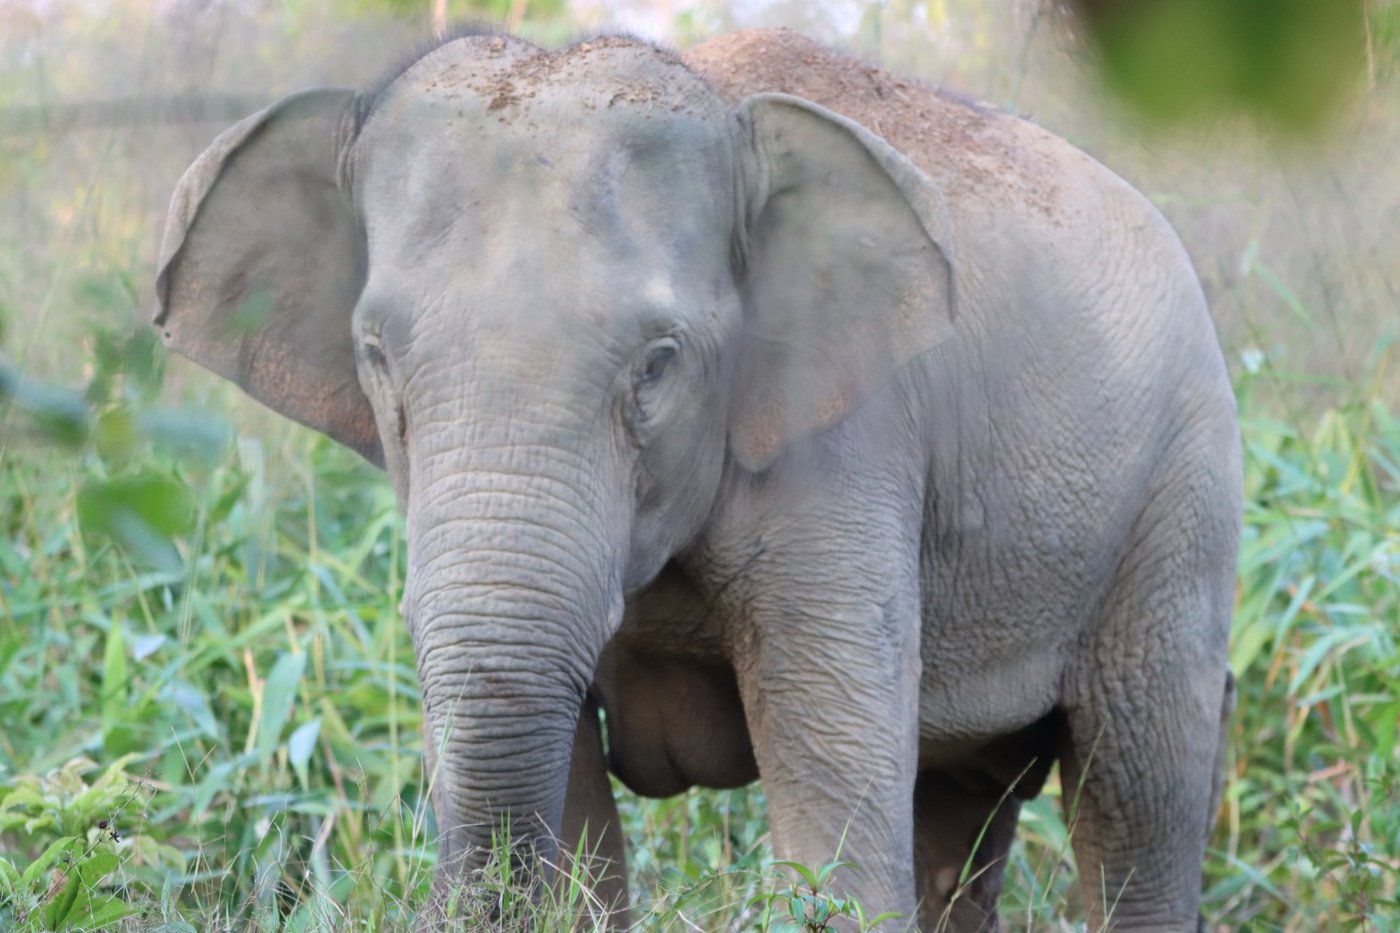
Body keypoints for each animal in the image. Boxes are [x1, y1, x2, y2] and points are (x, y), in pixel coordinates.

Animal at [153, 26, 1241, 931]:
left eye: (656, 363)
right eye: (374, 353)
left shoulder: (847, 448)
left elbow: (834, 802)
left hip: (1179, 502)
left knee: (1139, 795)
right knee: (957, 813)